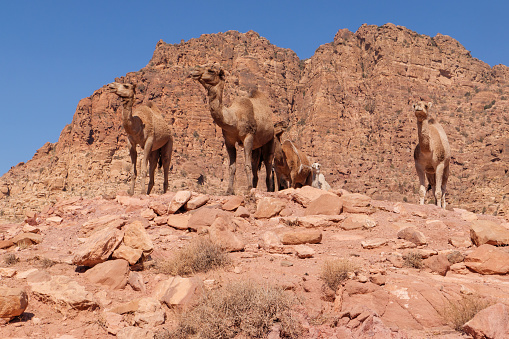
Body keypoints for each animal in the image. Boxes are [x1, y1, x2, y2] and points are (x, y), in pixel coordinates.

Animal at [189, 63, 274, 195]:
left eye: (211, 70)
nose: (194, 71)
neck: (234, 118)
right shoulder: (228, 140)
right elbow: (232, 167)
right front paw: (229, 190)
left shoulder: (248, 137)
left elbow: (247, 165)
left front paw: (248, 188)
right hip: (257, 147)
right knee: (256, 165)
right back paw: (254, 186)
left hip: (270, 140)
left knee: (268, 163)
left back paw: (268, 190)